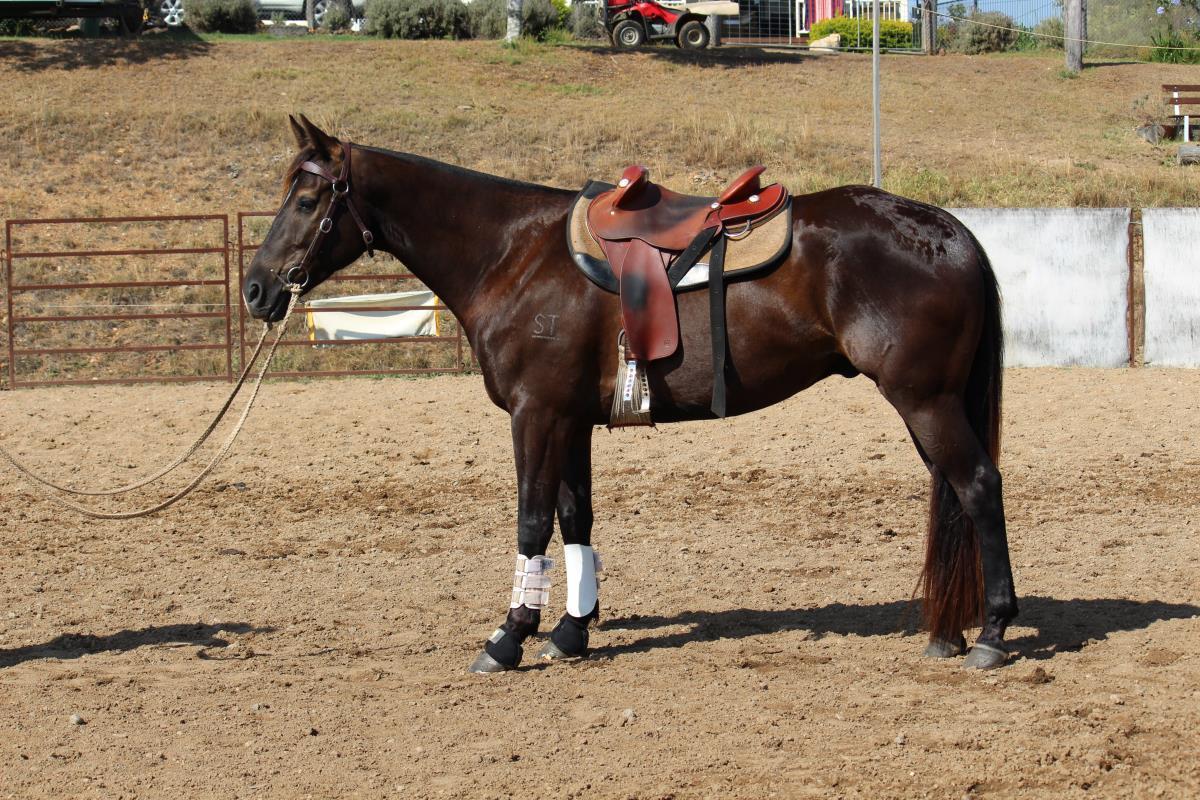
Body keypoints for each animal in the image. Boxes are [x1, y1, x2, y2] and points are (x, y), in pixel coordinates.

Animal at [242, 115, 1017, 672]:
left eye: (307, 199)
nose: (254, 289)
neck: (513, 254)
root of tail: (947, 229)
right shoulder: (570, 419)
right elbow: (576, 520)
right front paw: (569, 631)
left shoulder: (536, 415)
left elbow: (532, 524)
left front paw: (508, 638)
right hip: (927, 404)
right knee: (953, 490)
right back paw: (950, 631)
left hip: (925, 399)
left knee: (978, 485)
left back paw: (992, 632)